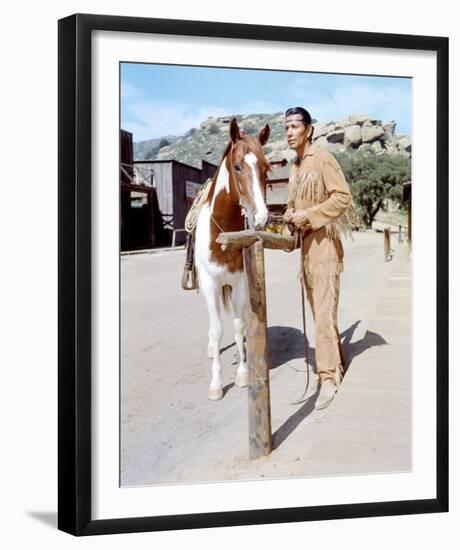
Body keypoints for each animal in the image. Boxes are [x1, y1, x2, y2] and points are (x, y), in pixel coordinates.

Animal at [194, 118, 270, 402]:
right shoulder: (209, 284)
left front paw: (243, 373)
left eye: (266, 168)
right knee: (212, 326)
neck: (223, 232)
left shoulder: (239, 284)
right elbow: (218, 330)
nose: (262, 217)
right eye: (237, 166)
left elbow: (238, 326)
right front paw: (216, 384)